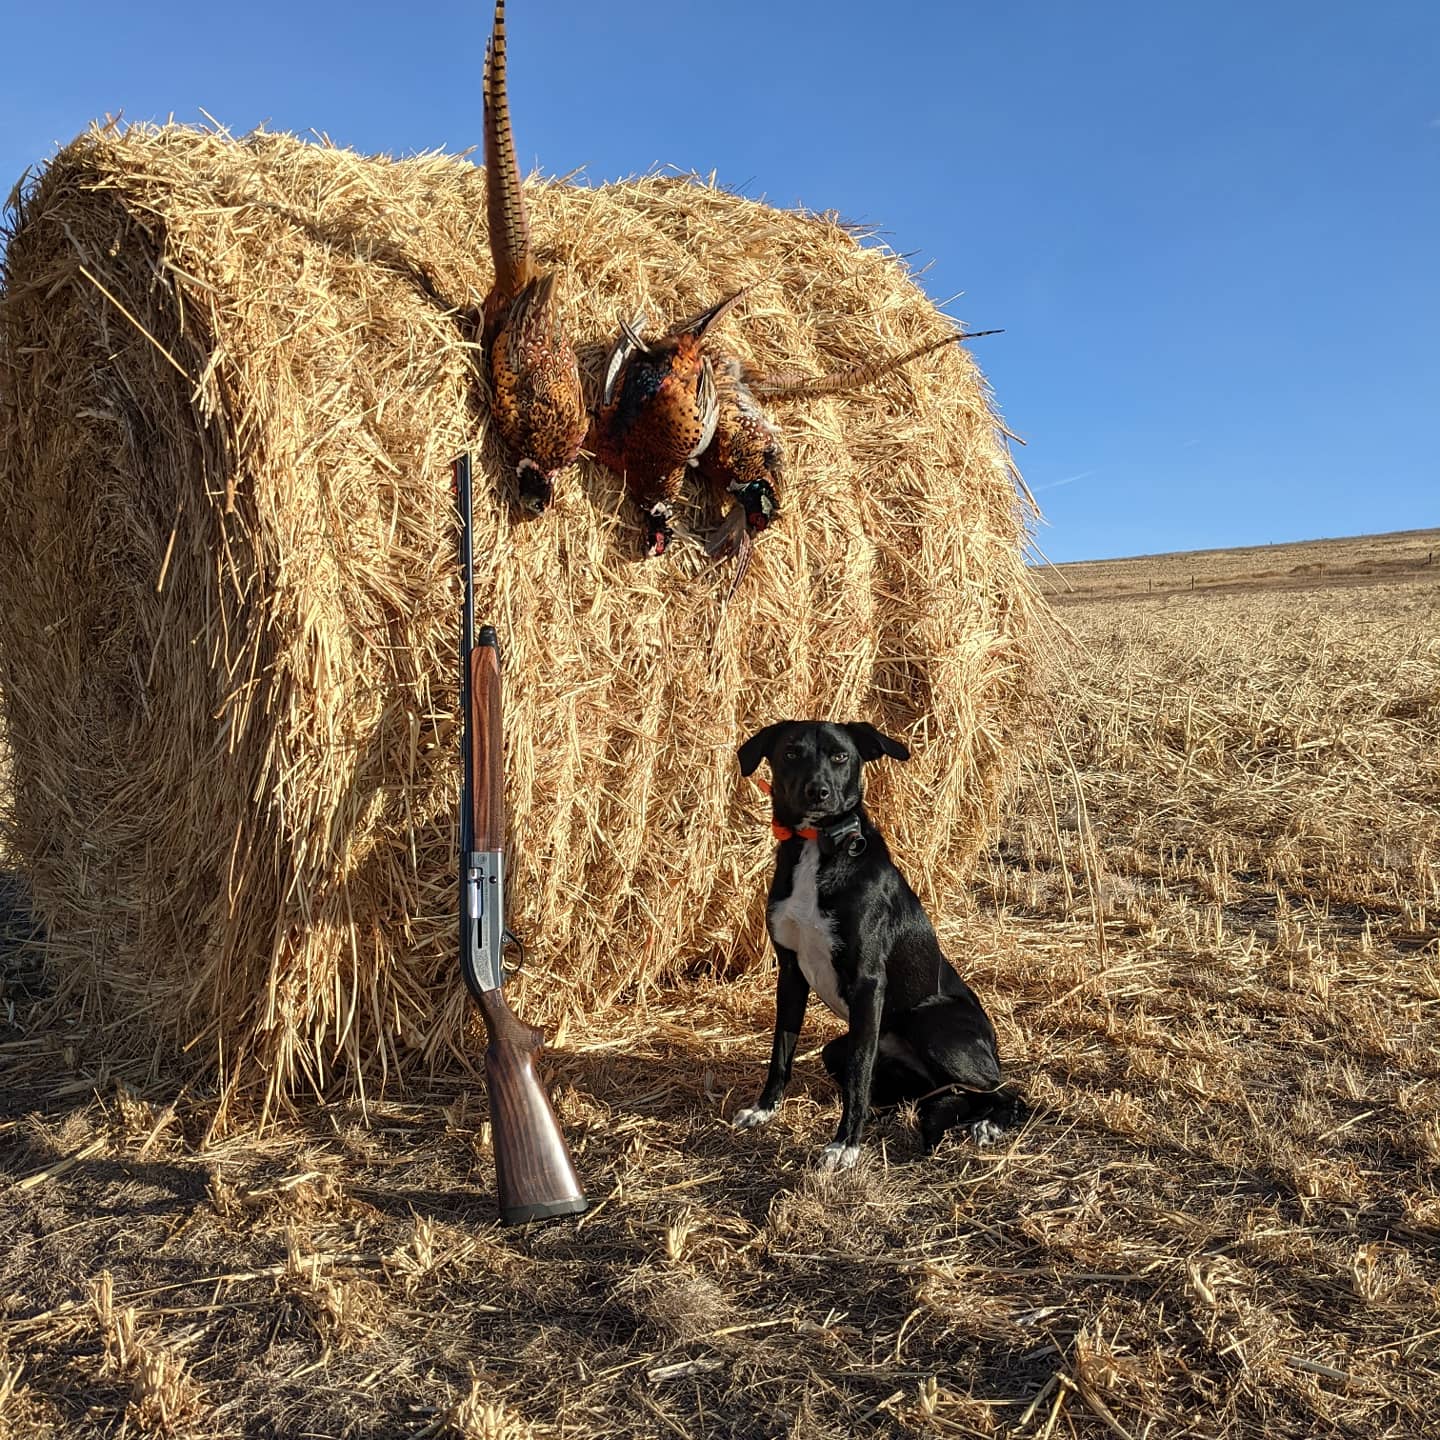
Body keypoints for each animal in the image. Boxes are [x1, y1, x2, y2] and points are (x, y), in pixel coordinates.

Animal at [731, 720, 1025, 1169]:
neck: (818, 847)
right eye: (791, 753)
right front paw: (764, 1109)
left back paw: (989, 1124)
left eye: (840, 756)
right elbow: (782, 1051)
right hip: (844, 1051)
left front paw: (845, 1145)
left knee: (1007, 1091)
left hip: (931, 1022)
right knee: (936, 1094)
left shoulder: (868, 982)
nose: (818, 792)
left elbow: (858, 1071)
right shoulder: (791, 973)